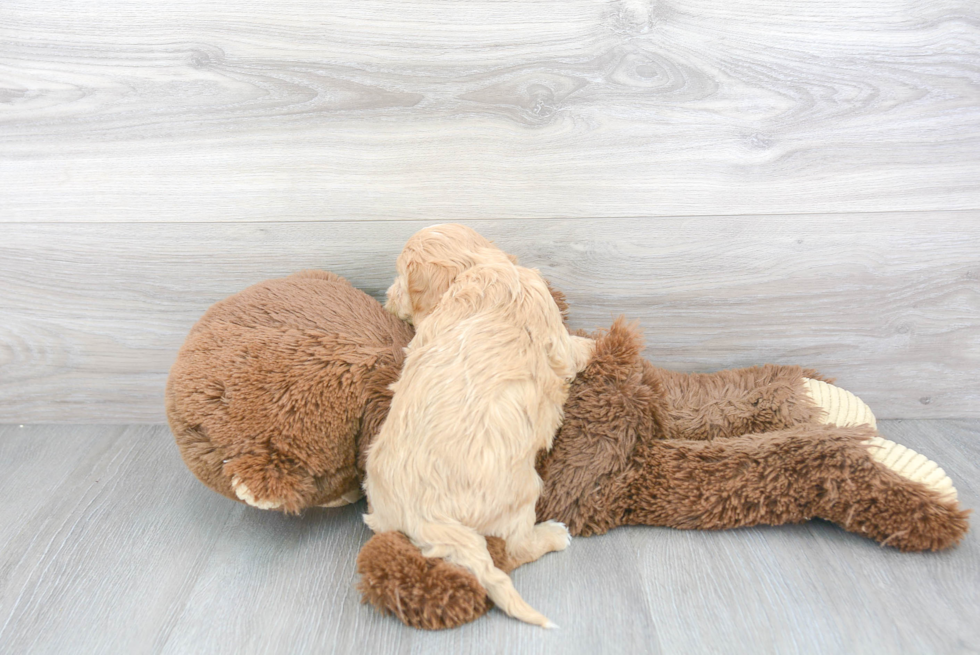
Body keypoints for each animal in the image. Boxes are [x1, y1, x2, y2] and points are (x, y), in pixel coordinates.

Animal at [364, 226, 592, 632]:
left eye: (400, 277)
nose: (386, 299)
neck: (479, 269)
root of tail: (424, 515)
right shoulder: (554, 334)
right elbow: (573, 351)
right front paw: (594, 344)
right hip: (524, 491)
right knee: (517, 547)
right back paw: (554, 534)